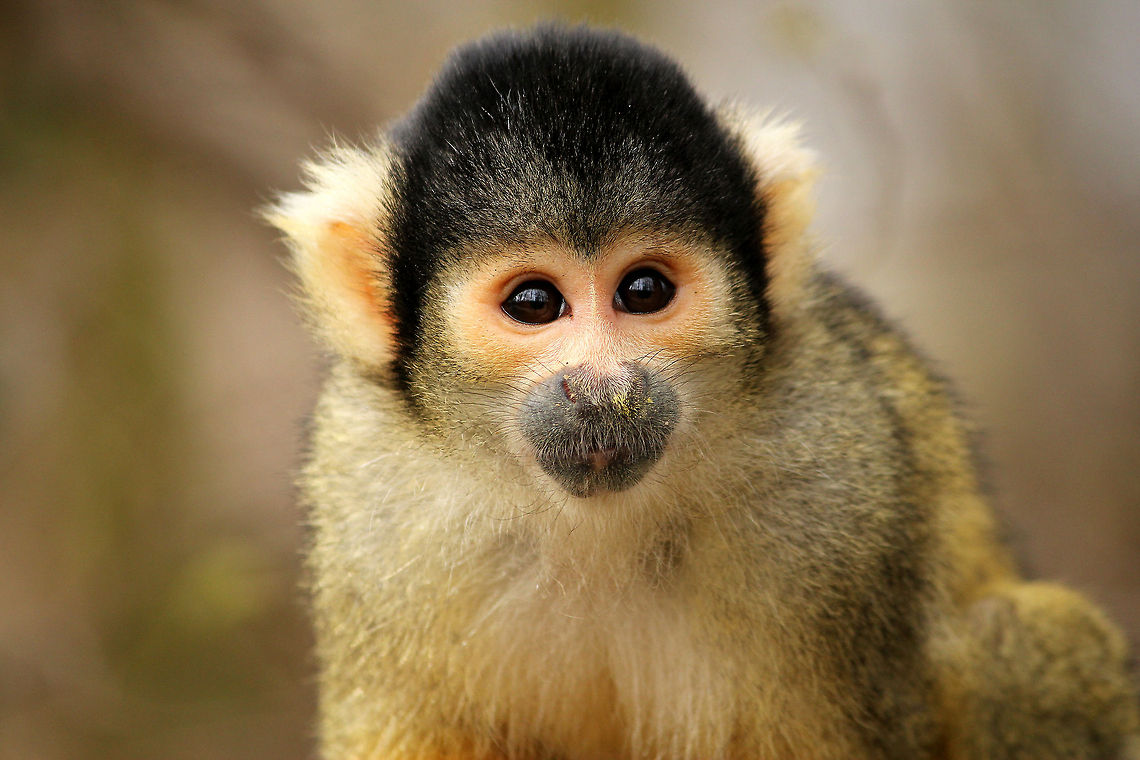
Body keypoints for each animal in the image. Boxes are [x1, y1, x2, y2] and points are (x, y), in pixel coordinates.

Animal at [265, 25, 1140, 760]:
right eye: (535, 303)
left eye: (644, 290)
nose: (602, 388)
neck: (599, 527)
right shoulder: (372, 510)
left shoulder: (838, 492)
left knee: (1023, 635)